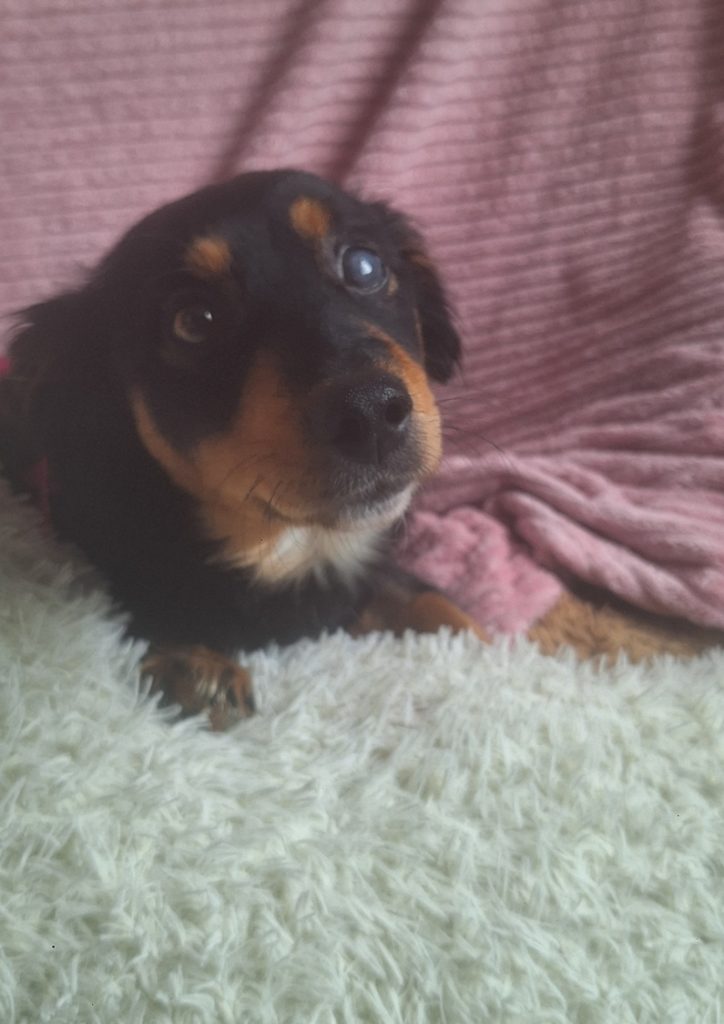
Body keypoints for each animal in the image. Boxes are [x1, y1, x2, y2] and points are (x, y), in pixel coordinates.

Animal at [0, 170, 486, 729]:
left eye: (364, 265)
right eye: (194, 321)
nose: (371, 413)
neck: (294, 547)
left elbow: (432, 601)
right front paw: (196, 662)